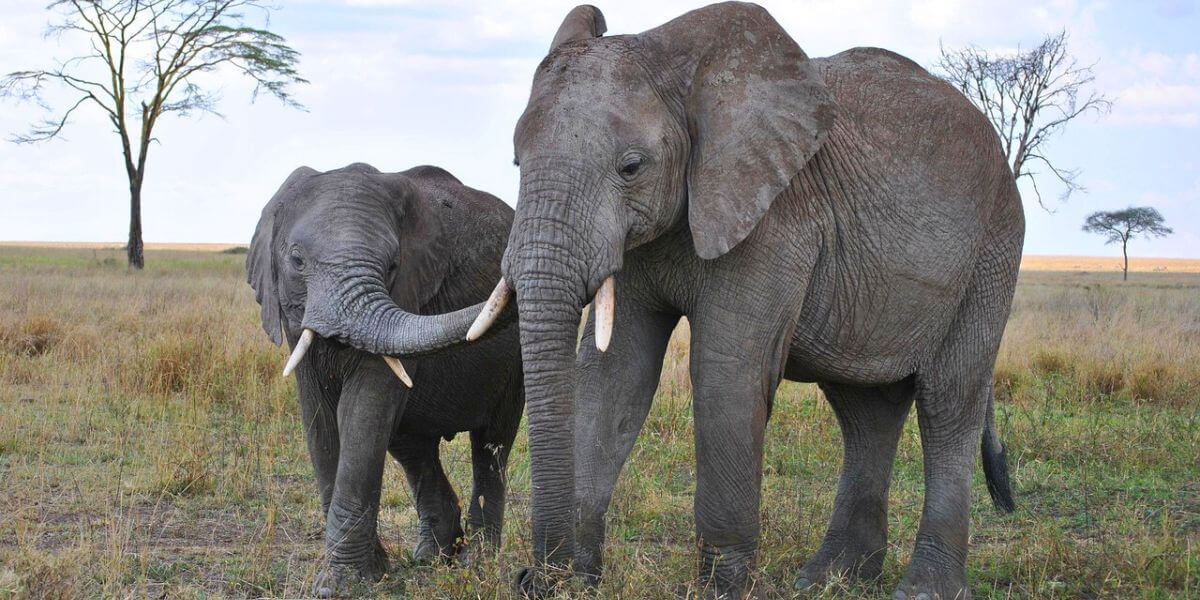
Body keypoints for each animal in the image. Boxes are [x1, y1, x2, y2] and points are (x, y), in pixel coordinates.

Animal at [246, 163, 523, 598]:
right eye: (296, 260)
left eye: (392, 265)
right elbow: (320, 420)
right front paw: (370, 574)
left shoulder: (409, 293)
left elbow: (363, 411)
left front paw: (344, 584)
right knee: (413, 446)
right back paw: (431, 557)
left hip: (514, 364)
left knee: (491, 443)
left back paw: (476, 564)